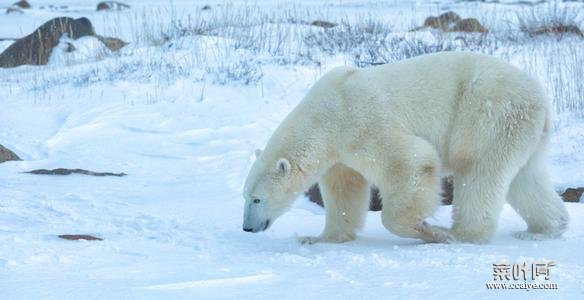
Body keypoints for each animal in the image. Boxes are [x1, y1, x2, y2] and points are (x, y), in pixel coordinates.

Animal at [242, 51, 572, 244]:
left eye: (257, 199)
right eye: (245, 196)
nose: (247, 227)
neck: (323, 114)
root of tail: (541, 98)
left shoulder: (359, 120)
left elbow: (411, 160)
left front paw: (425, 229)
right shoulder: (339, 153)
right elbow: (345, 190)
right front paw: (319, 238)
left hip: (489, 112)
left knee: (478, 168)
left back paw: (459, 233)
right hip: (520, 128)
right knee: (525, 177)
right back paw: (543, 230)